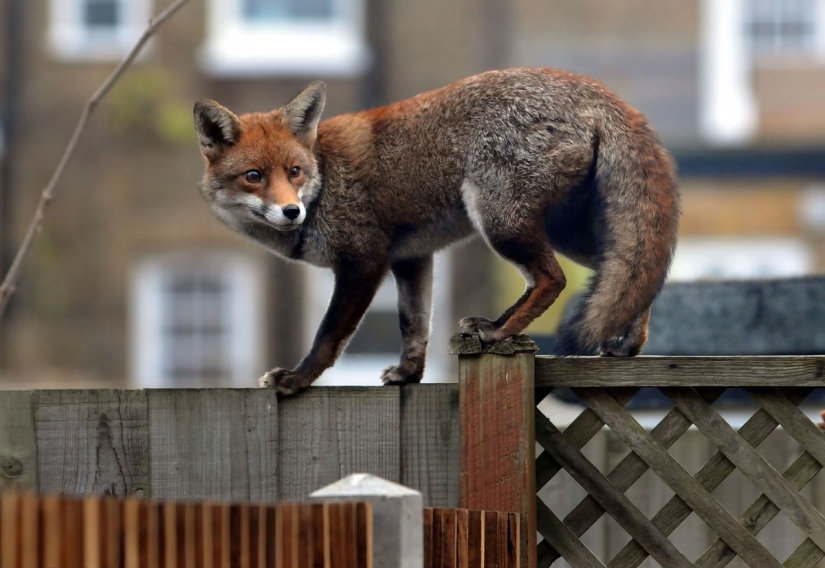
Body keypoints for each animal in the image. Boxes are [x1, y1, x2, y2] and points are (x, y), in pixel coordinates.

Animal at [193, 67, 680, 395]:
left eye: (293, 172)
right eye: (254, 176)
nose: (291, 211)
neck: (326, 179)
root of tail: (593, 88)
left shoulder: (363, 260)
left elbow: (329, 335)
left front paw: (297, 379)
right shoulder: (411, 258)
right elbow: (414, 326)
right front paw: (409, 375)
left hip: (499, 220)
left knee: (552, 279)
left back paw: (499, 333)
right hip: (561, 231)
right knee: (634, 275)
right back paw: (625, 345)